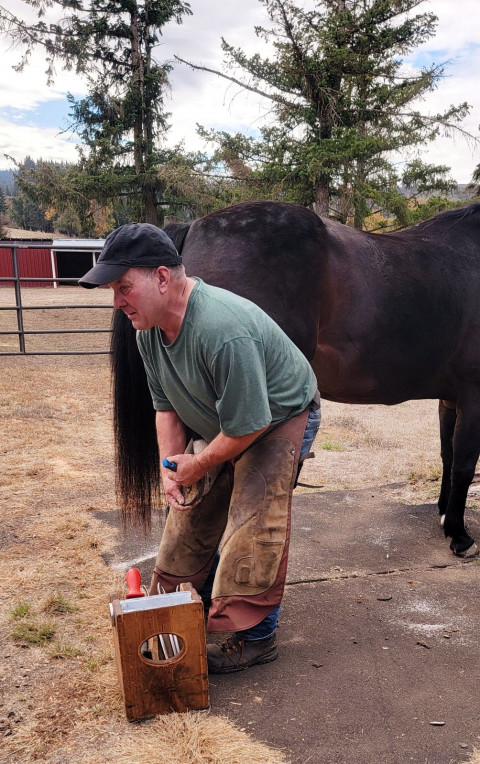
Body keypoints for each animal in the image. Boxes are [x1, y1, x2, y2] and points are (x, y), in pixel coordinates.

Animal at [110, 200, 480, 560]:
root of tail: (196, 225)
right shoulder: (473, 396)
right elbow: (464, 462)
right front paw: (460, 536)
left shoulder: (451, 399)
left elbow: (448, 455)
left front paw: (444, 515)